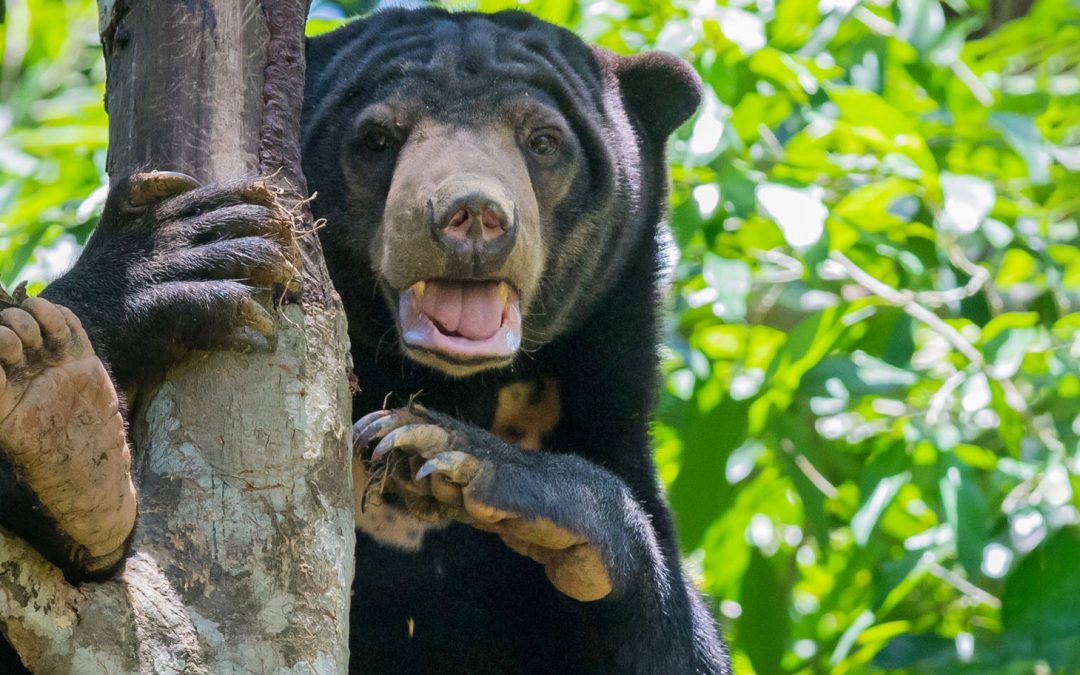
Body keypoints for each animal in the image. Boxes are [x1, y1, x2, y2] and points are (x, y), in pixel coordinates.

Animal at [1, 8, 730, 674]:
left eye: (543, 141)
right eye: (378, 138)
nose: (472, 216)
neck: (447, 383)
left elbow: (676, 635)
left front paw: (466, 462)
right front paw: (177, 256)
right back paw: (62, 429)